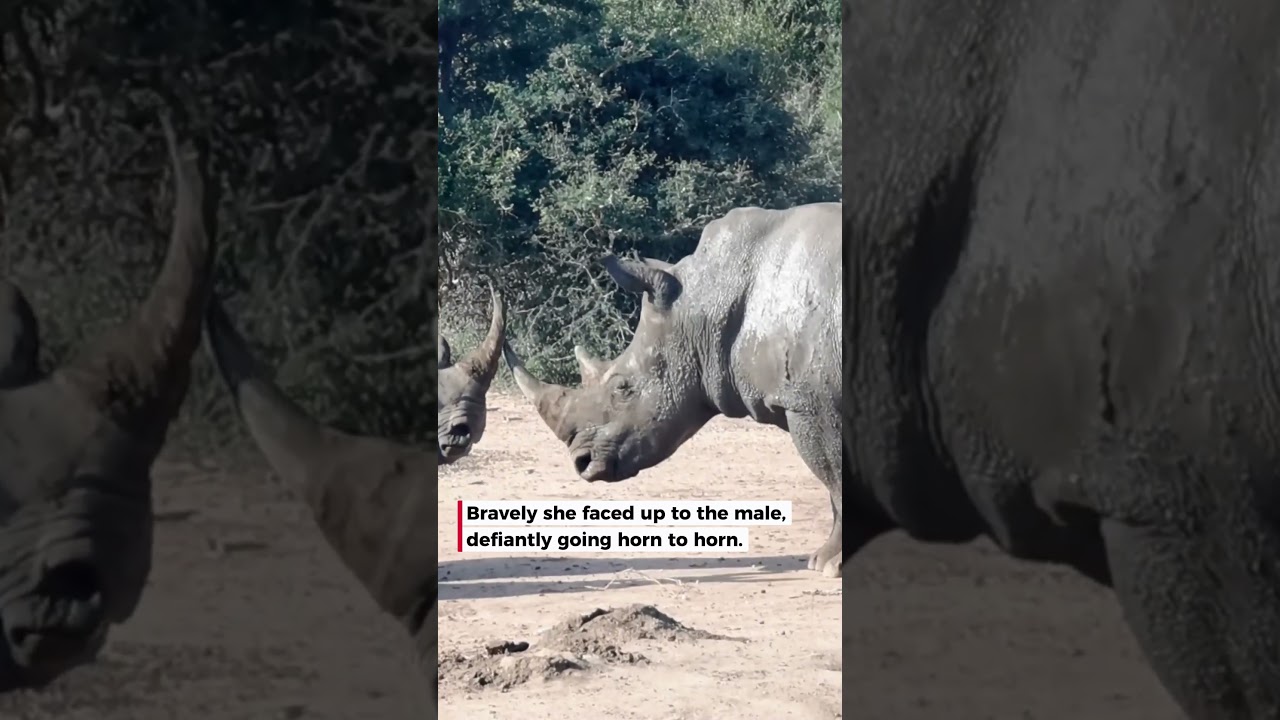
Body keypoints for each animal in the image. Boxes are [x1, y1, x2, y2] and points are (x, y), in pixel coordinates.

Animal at [503, 202, 843, 577]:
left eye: (623, 388)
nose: (582, 463)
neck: (709, 298)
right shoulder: (814, 399)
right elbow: (835, 486)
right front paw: (824, 561)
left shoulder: (813, 402)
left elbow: (835, 478)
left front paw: (830, 566)